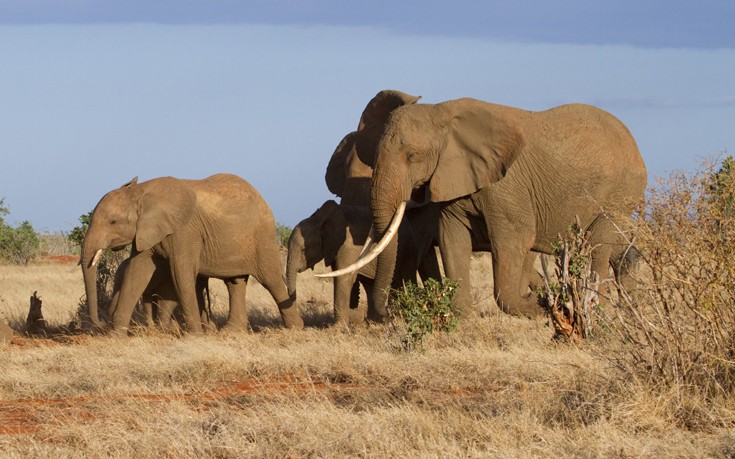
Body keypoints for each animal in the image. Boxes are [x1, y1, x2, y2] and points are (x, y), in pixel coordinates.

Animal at [83, 174, 304, 336]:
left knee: (271, 279)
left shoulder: (184, 231)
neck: (142, 192)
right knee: (235, 283)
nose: (101, 323)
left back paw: (295, 328)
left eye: (113, 222)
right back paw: (231, 332)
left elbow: (181, 274)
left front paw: (195, 336)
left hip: (262, 236)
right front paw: (117, 336)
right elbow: (136, 273)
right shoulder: (145, 232)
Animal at [286, 201, 420, 328]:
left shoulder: (347, 245)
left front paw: (337, 328)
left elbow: (343, 278)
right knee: (370, 284)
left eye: (303, 250)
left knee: (403, 279)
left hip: (409, 246)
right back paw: (374, 321)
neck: (318, 219)